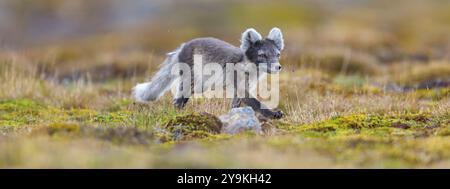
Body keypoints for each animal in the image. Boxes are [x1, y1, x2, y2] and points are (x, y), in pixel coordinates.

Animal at [132, 27, 284, 119]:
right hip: (191, 82)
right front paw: (273, 114)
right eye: (262, 55)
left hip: (200, 85)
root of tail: (182, 47)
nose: (278, 67)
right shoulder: (240, 87)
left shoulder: (243, 88)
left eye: (277, 54)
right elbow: (257, 103)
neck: (248, 69)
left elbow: (235, 105)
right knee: (177, 101)